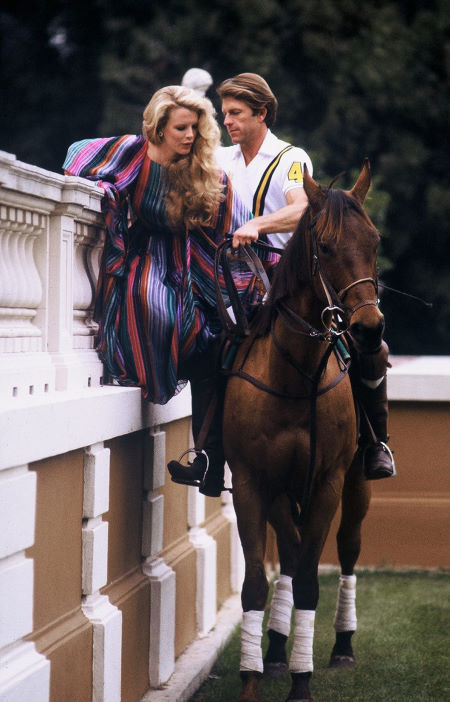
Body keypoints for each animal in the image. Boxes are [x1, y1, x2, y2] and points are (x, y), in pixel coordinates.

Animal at [222, 161, 380, 702]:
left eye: (374, 240)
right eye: (326, 247)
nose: (369, 328)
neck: (296, 377)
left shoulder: (328, 481)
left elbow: (313, 577)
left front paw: (302, 682)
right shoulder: (253, 482)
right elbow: (257, 579)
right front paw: (252, 677)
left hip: (354, 482)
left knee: (349, 547)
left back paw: (343, 644)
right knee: (288, 555)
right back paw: (273, 648)